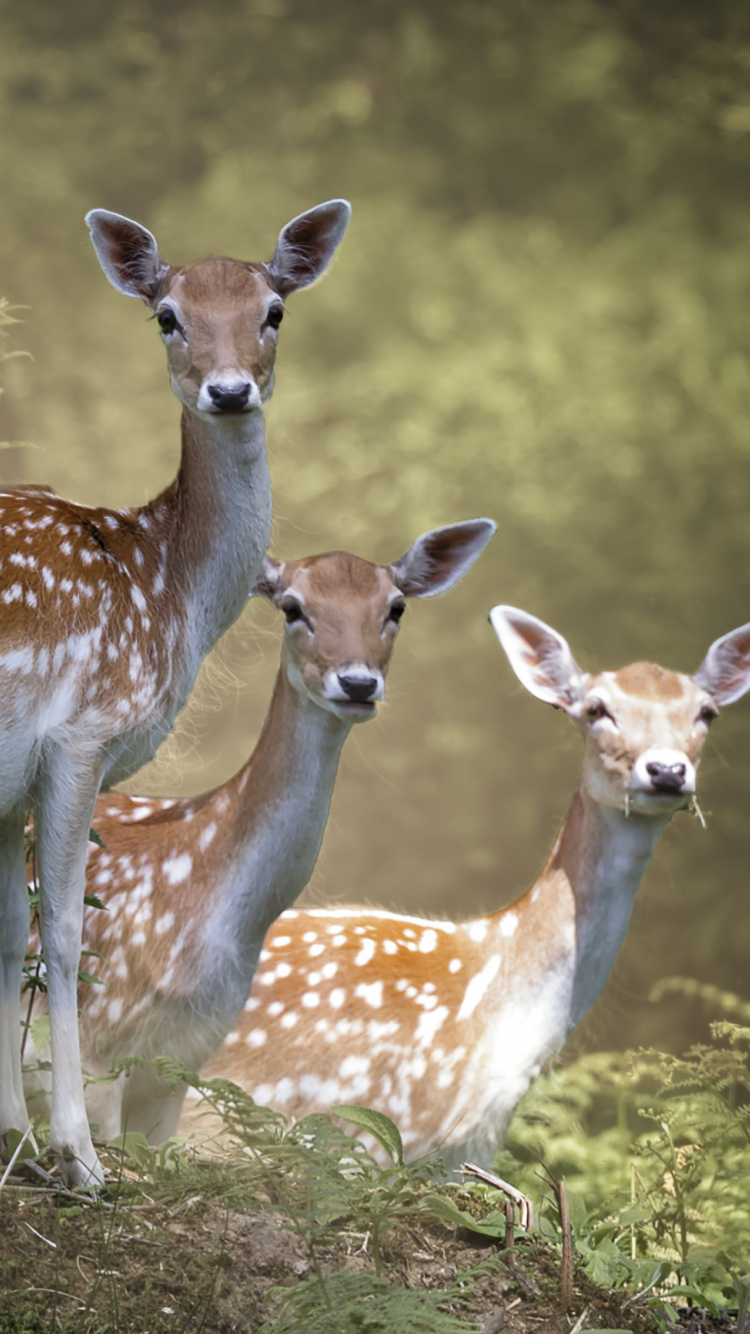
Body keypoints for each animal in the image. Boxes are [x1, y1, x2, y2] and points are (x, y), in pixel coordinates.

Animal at [1, 197, 351, 1186]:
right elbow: (64, 936)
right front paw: (79, 1158)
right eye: (167, 316)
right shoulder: (84, 731)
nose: (229, 391)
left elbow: (8, 935)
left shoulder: (17, 782)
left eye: (274, 310)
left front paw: (15, 1137)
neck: (166, 587)